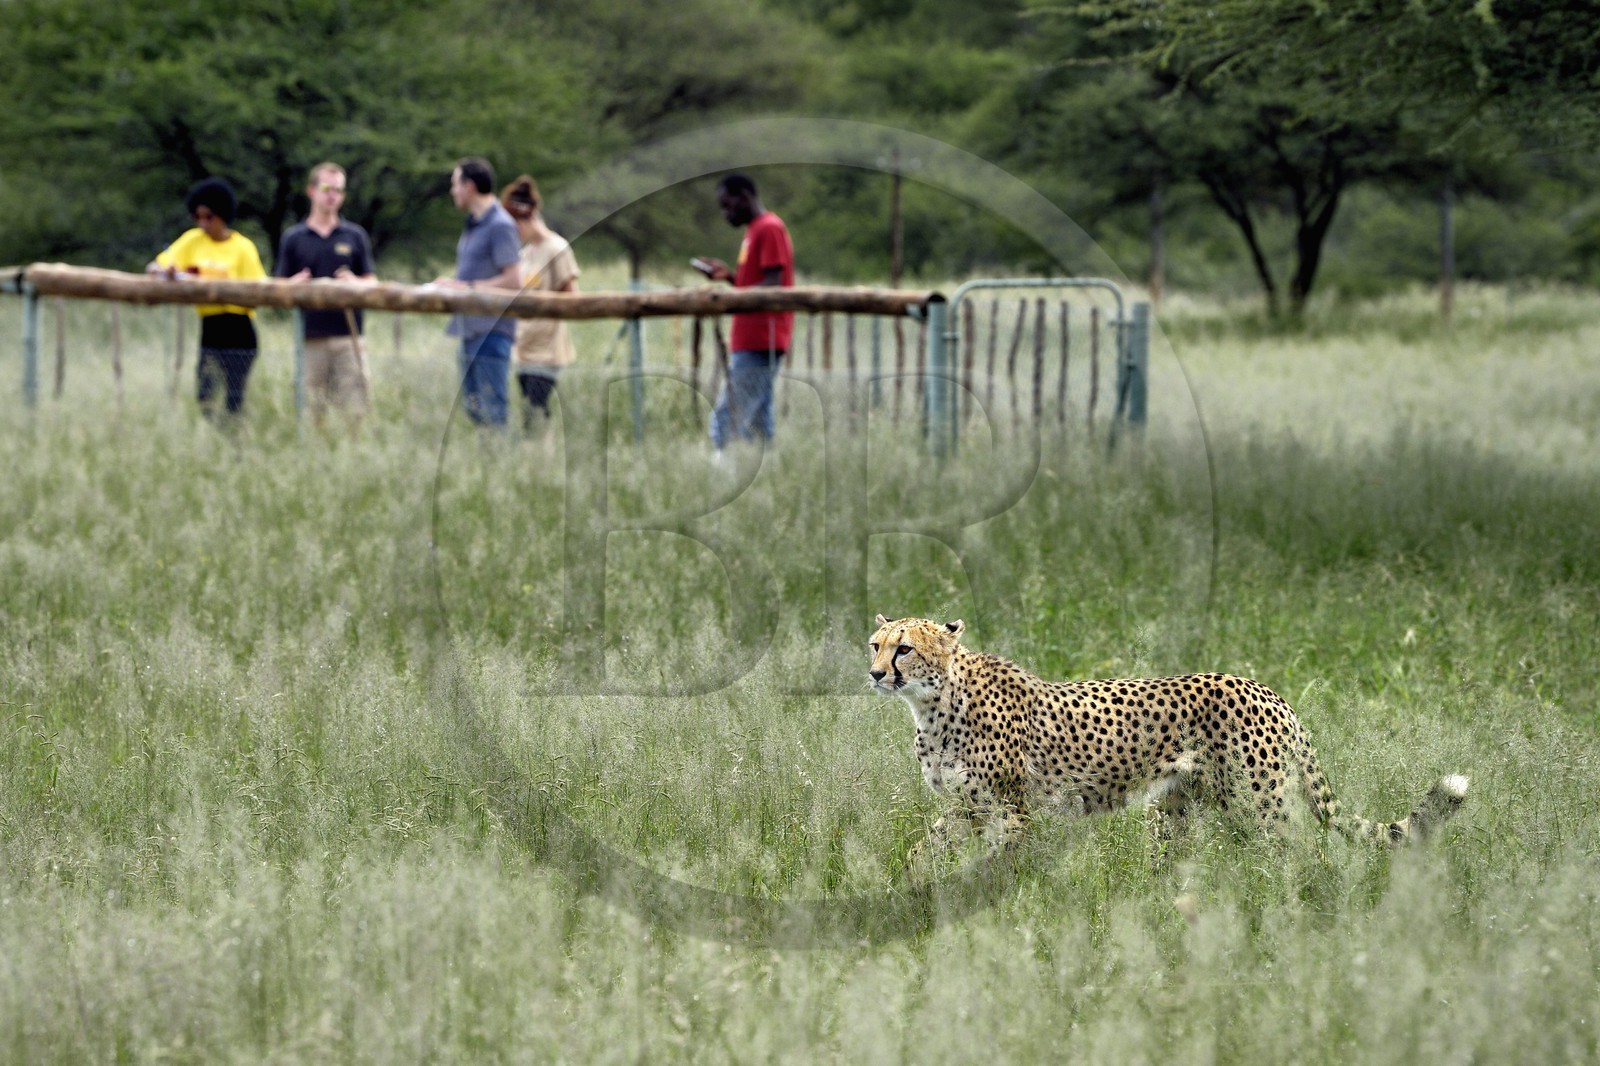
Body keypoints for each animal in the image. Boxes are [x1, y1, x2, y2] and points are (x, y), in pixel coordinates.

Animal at [867, 614, 1469, 864]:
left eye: (904, 648)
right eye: (876, 643)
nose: (874, 674)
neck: (932, 703)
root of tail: (1264, 687)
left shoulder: (1013, 811)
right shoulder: (969, 806)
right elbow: (926, 846)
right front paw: (916, 881)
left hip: (1259, 803)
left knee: (1301, 850)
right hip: (1178, 808)